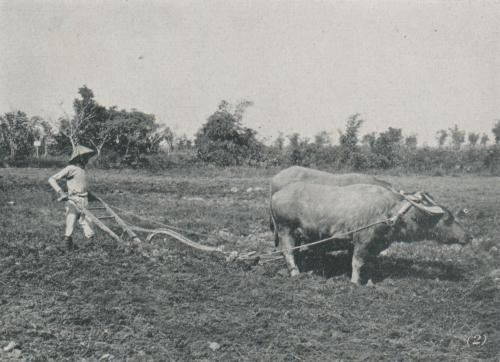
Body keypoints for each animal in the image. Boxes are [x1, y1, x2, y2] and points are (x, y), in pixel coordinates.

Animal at [272, 182, 470, 284]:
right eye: (448, 219)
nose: (469, 236)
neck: (390, 212)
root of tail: (276, 194)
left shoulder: (375, 245)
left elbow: (368, 263)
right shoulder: (362, 241)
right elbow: (357, 262)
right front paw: (354, 282)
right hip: (285, 229)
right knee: (287, 251)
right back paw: (295, 273)